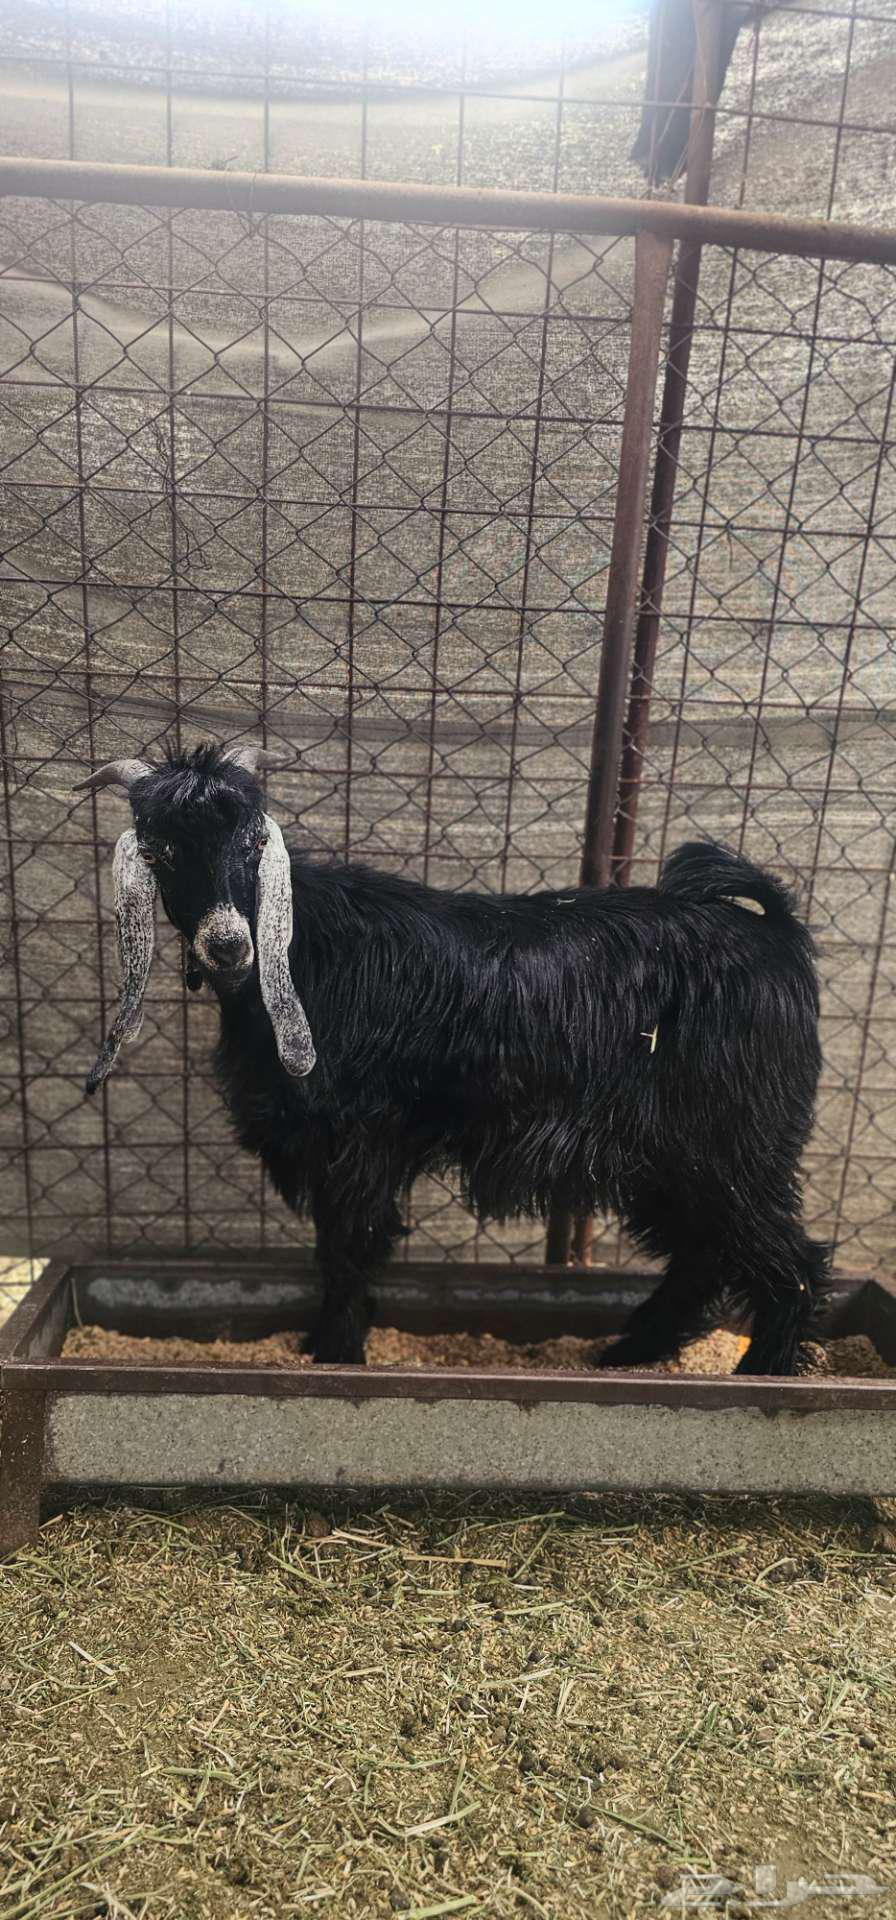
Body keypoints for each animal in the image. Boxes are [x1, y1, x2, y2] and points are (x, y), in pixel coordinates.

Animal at [79, 741, 828, 1372]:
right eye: (160, 852)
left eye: (254, 842)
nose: (229, 945)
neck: (305, 951)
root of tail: (778, 936)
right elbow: (337, 1248)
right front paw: (326, 1346)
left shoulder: (357, 1141)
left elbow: (348, 1247)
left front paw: (336, 1355)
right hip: (671, 1159)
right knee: (703, 1257)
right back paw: (628, 1354)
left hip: (735, 1144)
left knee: (789, 1262)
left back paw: (760, 1376)